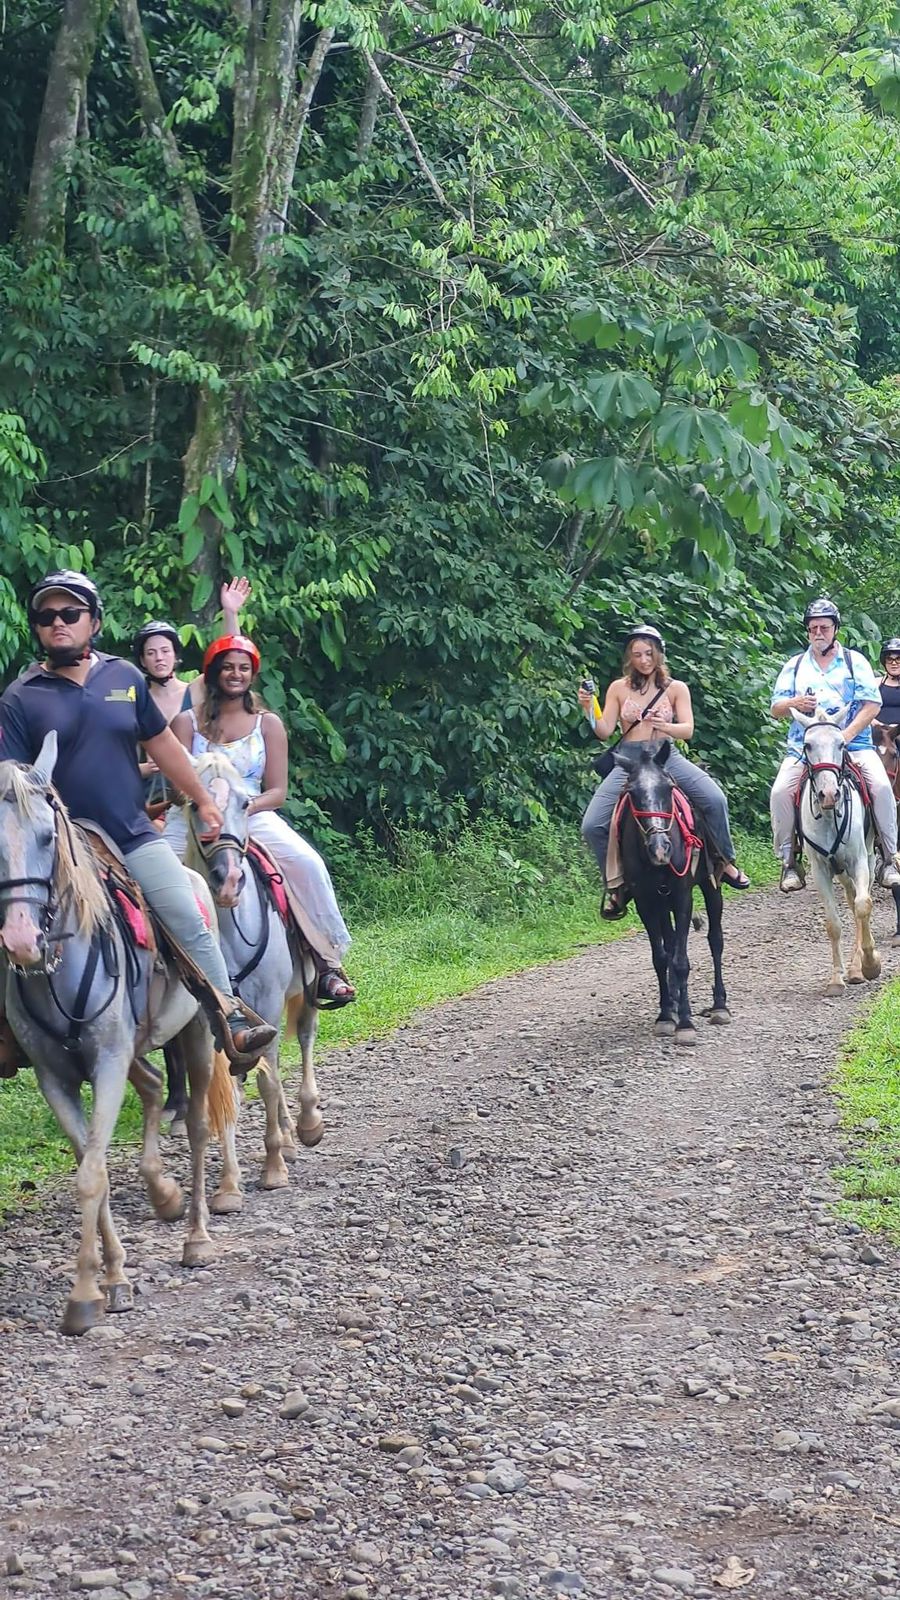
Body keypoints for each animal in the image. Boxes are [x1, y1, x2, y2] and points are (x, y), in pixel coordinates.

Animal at [0, 732, 235, 1331]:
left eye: (47, 835)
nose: (20, 940)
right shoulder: (56, 1077)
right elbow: (94, 1165)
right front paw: (111, 1278)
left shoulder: (106, 1061)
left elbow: (90, 1174)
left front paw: (84, 1295)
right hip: (136, 1051)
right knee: (153, 1088)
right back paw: (164, 1192)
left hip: (196, 1036)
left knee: (198, 1125)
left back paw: (197, 1236)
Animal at [179, 752, 321, 1203]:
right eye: (193, 803)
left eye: (246, 802)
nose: (228, 882)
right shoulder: (215, 1022)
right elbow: (228, 1093)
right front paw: (228, 1184)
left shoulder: (269, 1003)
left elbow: (269, 1084)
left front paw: (273, 1168)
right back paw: (290, 1137)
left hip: (307, 991)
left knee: (304, 1041)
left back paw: (307, 1125)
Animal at [791, 710, 877, 992]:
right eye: (807, 745)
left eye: (841, 744)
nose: (829, 794)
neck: (829, 817)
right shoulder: (821, 871)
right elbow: (833, 923)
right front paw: (836, 978)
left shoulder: (859, 861)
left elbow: (863, 906)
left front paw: (870, 964)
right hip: (841, 872)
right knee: (850, 898)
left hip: (869, 860)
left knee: (861, 900)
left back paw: (858, 967)